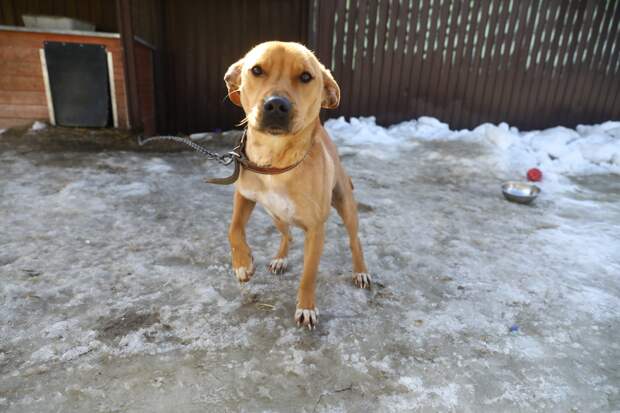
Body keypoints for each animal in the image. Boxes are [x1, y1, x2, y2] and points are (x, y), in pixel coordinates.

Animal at [224, 41, 370, 329]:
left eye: (305, 77)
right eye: (256, 70)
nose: (276, 105)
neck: (275, 163)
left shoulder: (316, 230)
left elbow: (309, 274)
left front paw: (306, 308)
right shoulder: (243, 195)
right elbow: (233, 229)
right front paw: (242, 264)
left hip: (346, 207)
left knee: (354, 241)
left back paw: (360, 271)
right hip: (275, 214)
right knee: (287, 234)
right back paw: (280, 259)